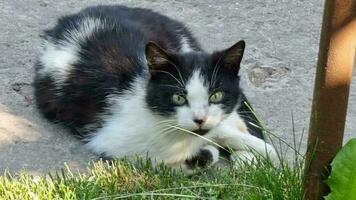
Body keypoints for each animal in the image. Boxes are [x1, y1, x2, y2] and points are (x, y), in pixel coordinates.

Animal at [34, 4, 278, 173]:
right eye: (179, 98)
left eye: (216, 95)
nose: (200, 119)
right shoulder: (110, 139)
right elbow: (159, 160)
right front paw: (205, 153)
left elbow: (226, 128)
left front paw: (262, 154)